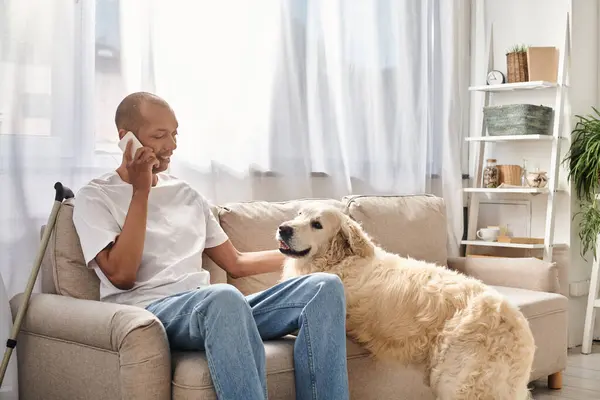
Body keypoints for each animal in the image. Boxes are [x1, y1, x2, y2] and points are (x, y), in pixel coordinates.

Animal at [276, 205, 536, 400]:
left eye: (317, 224)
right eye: (299, 214)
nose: (283, 228)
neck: (337, 260)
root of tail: (517, 322)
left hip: (458, 380)